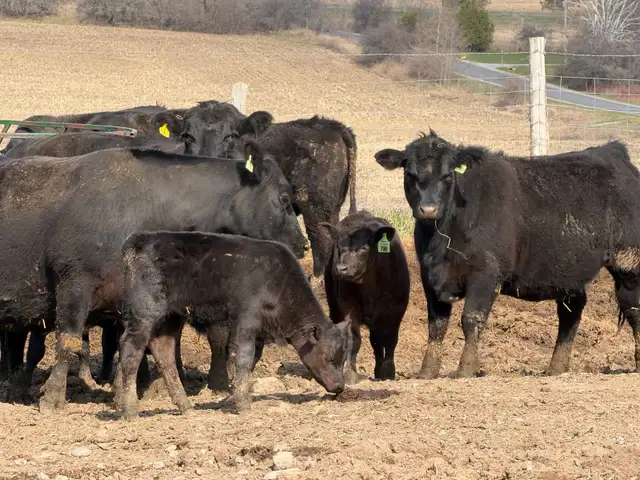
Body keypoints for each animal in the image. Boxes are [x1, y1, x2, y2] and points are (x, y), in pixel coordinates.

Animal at [0, 141, 308, 413]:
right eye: (284, 198)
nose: (302, 244)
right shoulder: (74, 285)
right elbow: (69, 343)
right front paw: (53, 398)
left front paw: (129, 393)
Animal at [113, 231, 350, 419]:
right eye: (329, 357)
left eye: (343, 358)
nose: (340, 386)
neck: (277, 280)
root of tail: (141, 239)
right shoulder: (245, 321)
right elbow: (243, 358)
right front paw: (244, 406)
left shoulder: (258, 334)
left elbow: (250, 362)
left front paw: (232, 398)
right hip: (144, 314)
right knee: (130, 350)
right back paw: (130, 410)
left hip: (171, 317)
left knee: (163, 351)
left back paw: (185, 406)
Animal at [319, 210, 410, 383]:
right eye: (339, 247)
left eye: (363, 248)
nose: (341, 268)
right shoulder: (348, 307)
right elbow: (353, 339)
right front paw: (350, 372)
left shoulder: (396, 310)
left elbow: (390, 340)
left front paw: (389, 372)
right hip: (334, 307)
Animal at [374, 130, 640, 379]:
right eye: (410, 174)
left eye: (448, 175)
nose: (428, 210)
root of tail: (613, 152)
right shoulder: (430, 276)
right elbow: (436, 326)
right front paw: (427, 373)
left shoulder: (486, 274)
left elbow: (471, 319)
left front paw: (466, 370)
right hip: (568, 271)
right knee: (572, 311)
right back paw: (556, 368)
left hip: (629, 262)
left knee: (633, 307)